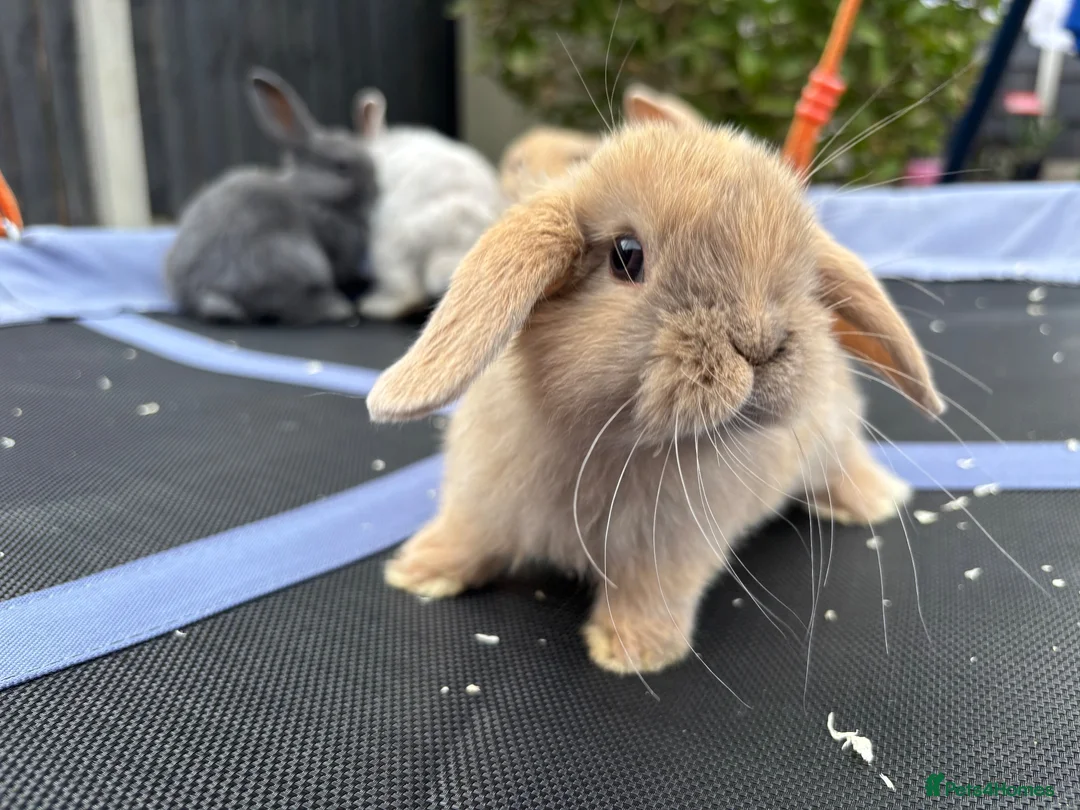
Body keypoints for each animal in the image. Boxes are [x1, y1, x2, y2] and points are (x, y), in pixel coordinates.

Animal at [164, 67, 377, 325]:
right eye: (341, 167)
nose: (374, 189)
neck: (310, 193)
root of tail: (204, 292)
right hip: (294, 260)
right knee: (281, 306)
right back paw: (337, 309)